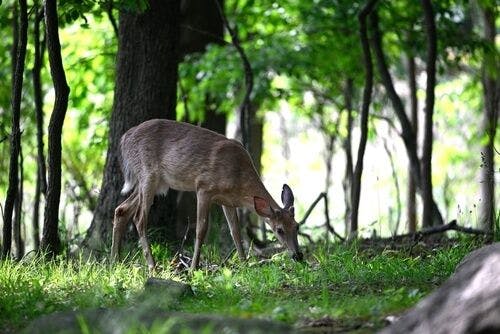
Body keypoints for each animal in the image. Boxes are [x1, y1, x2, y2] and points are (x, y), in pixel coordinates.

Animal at [111, 118, 302, 272]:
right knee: (139, 218)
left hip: (156, 183)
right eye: (279, 230)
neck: (238, 180)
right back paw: (152, 267)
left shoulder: (228, 201)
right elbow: (201, 229)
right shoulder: (204, 187)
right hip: (148, 175)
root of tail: (124, 138)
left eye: (297, 226)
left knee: (121, 209)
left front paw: (244, 264)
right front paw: (193, 268)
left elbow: (235, 231)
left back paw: (115, 262)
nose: (298, 256)